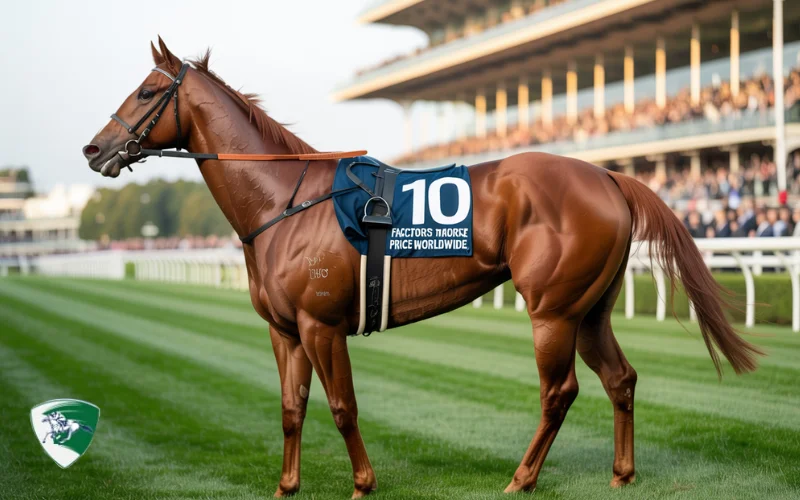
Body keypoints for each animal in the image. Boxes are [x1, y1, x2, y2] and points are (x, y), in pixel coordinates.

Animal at [82, 38, 762, 498]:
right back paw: (621, 475)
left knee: (559, 391)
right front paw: (286, 486)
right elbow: (291, 409)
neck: (284, 203)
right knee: (620, 379)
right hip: (591, 307)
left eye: (148, 92)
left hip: (553, 309)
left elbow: (342, 407)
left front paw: (362, 482)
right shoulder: (283, 331)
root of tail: (609, 175)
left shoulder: (321, 326)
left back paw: (521, 478)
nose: (94, 149)